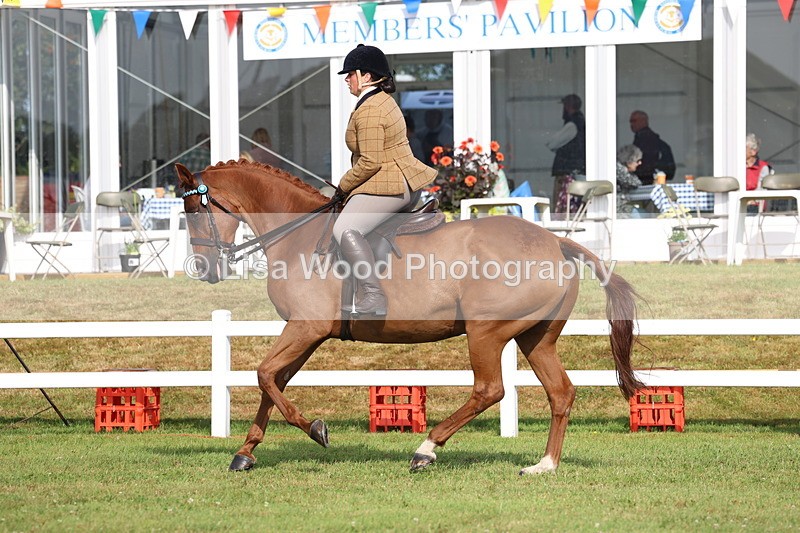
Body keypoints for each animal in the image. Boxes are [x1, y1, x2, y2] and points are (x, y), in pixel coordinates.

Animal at [174, 160, 643, 475]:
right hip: (535, 337)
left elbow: (265, 375)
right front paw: (246, 452)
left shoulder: (306, 327)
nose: (205, 269)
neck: (297, 236)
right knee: (560, 393)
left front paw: (316, 430)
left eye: (194, 213)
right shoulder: (307, 334)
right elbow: (274, 381)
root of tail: (554, 242)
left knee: (489, 390)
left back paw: (426, 449)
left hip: (487, 332)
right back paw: (544, 465)